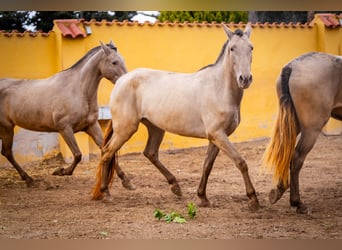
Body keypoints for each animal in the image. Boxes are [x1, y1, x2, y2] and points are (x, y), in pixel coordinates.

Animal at [0, 40, 128, 187]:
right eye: (114, 62)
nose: (126, 80)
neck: (78, 90)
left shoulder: (91, 126)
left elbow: (107, 150)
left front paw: (126, 180)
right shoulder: (64, 128)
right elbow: (77, 155)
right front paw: (60, 171)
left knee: (6, 152)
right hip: (6, 128)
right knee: (8, 152)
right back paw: (28, 178)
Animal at [91, 23, 260, 211]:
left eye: (251, 47)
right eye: (232, 48)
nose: (245, 79)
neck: (219, 88)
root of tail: (121, 80)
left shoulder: (217, 137)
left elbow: (207, 165)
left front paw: (203, 197)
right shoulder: (218, 135)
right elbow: (241, 162)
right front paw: (253, 199)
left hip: (155, 127)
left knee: (150, 153)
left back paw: (175, 186)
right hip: (125, 129)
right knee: (107, 152)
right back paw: (106, 193)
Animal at [264, 51, 340, 214]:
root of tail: (292, 66)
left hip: (292, 122)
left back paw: (279, 190)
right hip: (311, 129)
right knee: (297, 158)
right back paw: (297, 202)